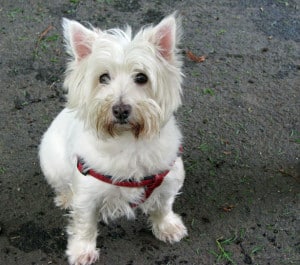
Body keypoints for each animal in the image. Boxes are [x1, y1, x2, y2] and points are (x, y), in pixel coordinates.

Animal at [38, 13, 186, 264]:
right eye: (103, 77)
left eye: (142, 77)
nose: (120, 110)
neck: (128, 141)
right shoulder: (87, 193)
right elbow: (85, 224)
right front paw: (81, 251)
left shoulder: (168, 175)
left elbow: (164, 204)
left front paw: (167, 227)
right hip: (52, 162)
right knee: (61, 184)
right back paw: (66, 197)